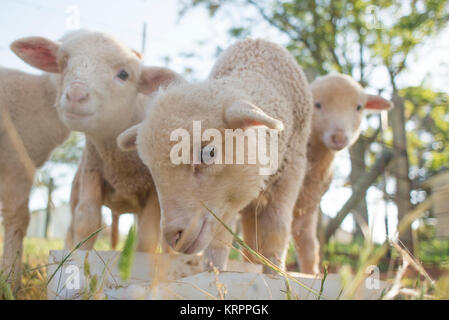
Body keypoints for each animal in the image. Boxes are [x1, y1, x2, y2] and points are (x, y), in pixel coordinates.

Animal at [13, 30, 183, 255]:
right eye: (64, 62)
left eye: (124, 74)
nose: (76, 94)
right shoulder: (92, 170)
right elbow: (87, 221)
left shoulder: (153, 191)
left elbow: (147, 237)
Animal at [117, 38, 314, 272]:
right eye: (151, 168)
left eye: (209, 152)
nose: (174, 238)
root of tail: (258, 40)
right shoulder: (225, 201)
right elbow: (220, 237)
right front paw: (213, 271)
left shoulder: (291, 171)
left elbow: (277, 230)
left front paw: (274, 271)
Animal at [290, 74, 392, 274]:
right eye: (317, 104)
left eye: (359, 107)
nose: (339, 137)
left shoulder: (309, 202)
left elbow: (309, 245)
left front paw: (312, 274)